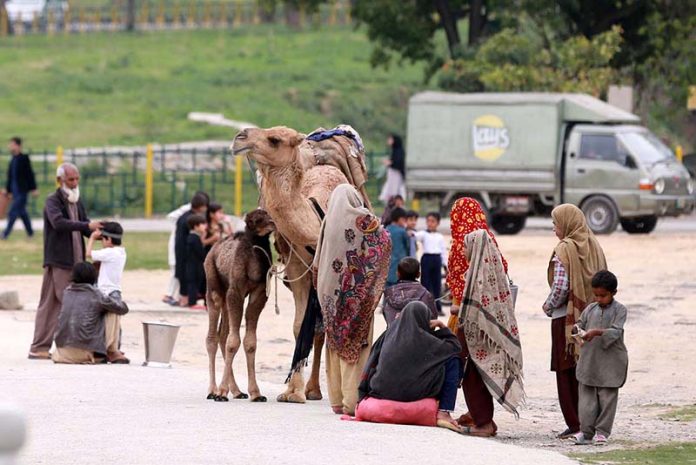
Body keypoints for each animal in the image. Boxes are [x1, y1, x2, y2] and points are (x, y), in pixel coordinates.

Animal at [204, 208, 274, 400]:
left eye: (268, 215)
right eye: (256, 220)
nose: (272, 223)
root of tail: (212, 250)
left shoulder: (259, 293)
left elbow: (250, 342)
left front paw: (256, 394)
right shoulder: (236, 292)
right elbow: (233, 342)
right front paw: (221, 392)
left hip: (226, 298)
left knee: (222, 335)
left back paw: (236, 391)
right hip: (214, 290)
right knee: (212, 338)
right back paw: (212, 390)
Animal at [231, 125, 370, 404]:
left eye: (274, 140)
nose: (239, 137)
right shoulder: (298, 270)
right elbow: (298, 327)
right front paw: (292, 391)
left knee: (322, 329)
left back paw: (316, 389)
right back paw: (311, 388)